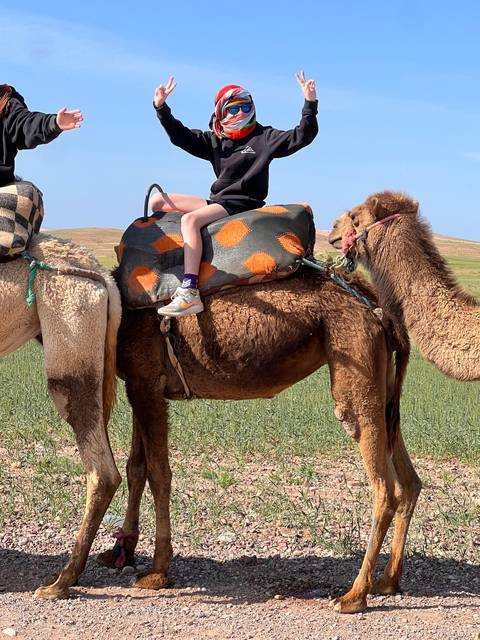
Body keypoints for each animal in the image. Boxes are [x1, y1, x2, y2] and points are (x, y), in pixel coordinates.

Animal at [97, 267, 420, 614]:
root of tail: (376, 306)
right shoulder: (140, 383)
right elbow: (136, 468)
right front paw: (120, 552)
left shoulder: (147, 384)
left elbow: (159, 475)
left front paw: (157, 572)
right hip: (383, 381)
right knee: (409, 481)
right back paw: (388, 581)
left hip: (355, 361)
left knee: (383, 485)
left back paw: (354, 595)